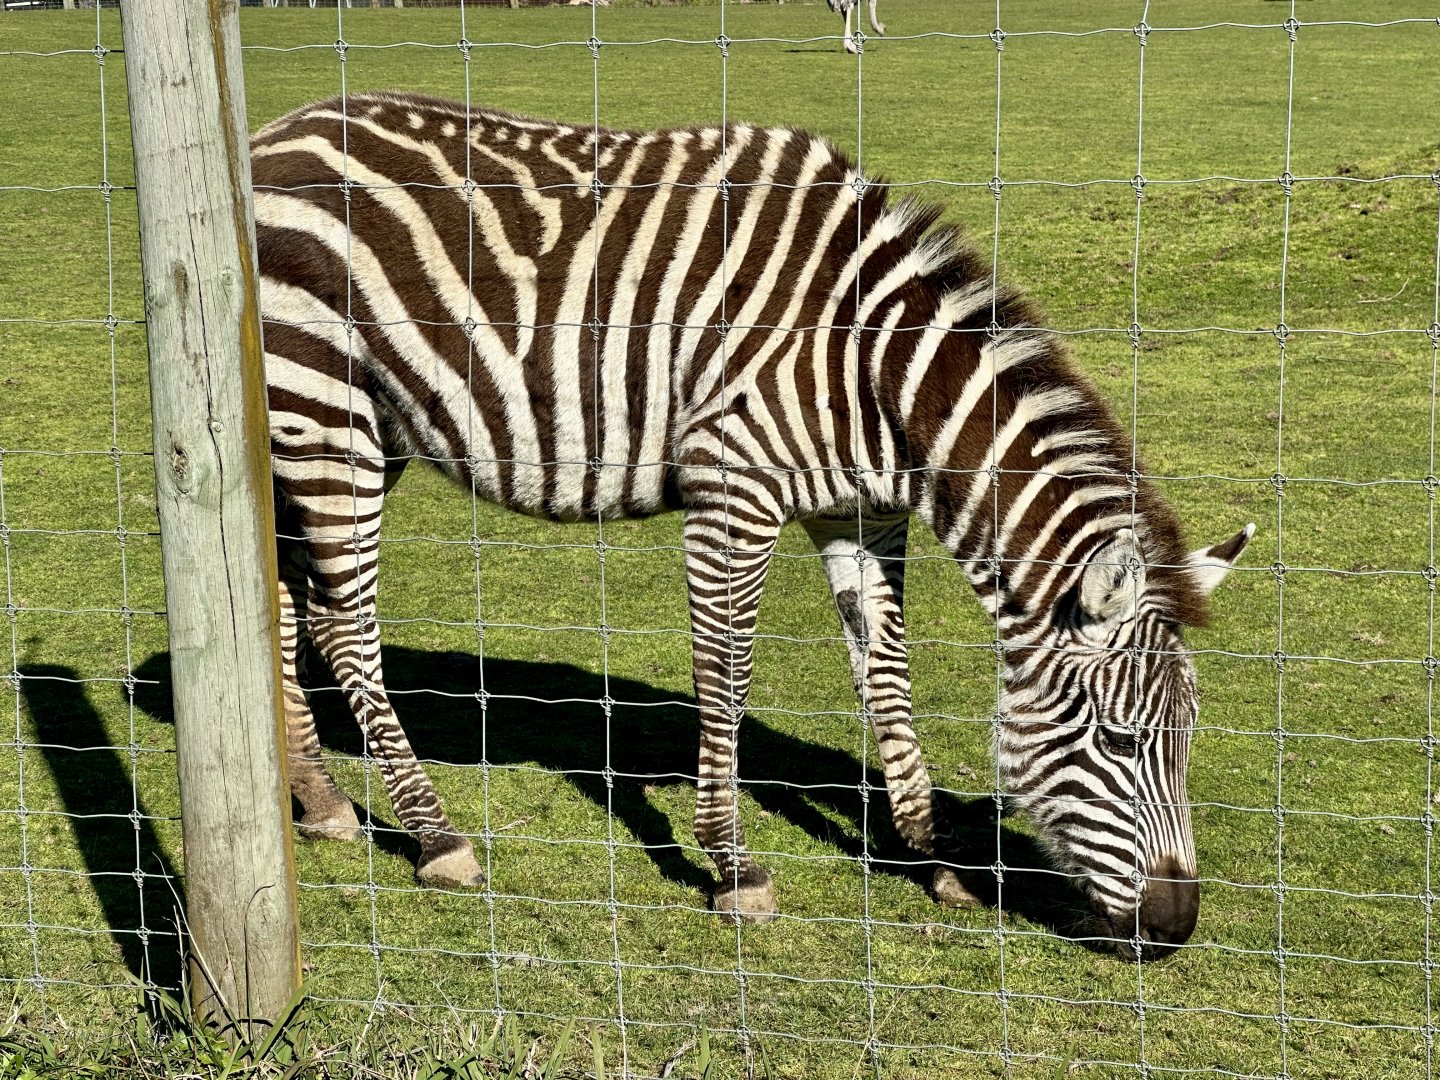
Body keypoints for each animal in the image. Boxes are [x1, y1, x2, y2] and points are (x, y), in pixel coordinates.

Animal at [251, 91, 1252, 958]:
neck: (873, 372)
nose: (1175, 928)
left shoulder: (861, 517)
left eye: (1192, 738)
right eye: (1120, 740)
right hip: (325, 408)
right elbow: (725, 676)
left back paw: (321, 800)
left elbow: (886, 675)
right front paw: (733, 867)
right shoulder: (731, 492)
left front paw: (932, 858)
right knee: (343, 620)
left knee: (287, 600)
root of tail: (272, 132)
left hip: (344, 428)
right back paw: (435, 837)